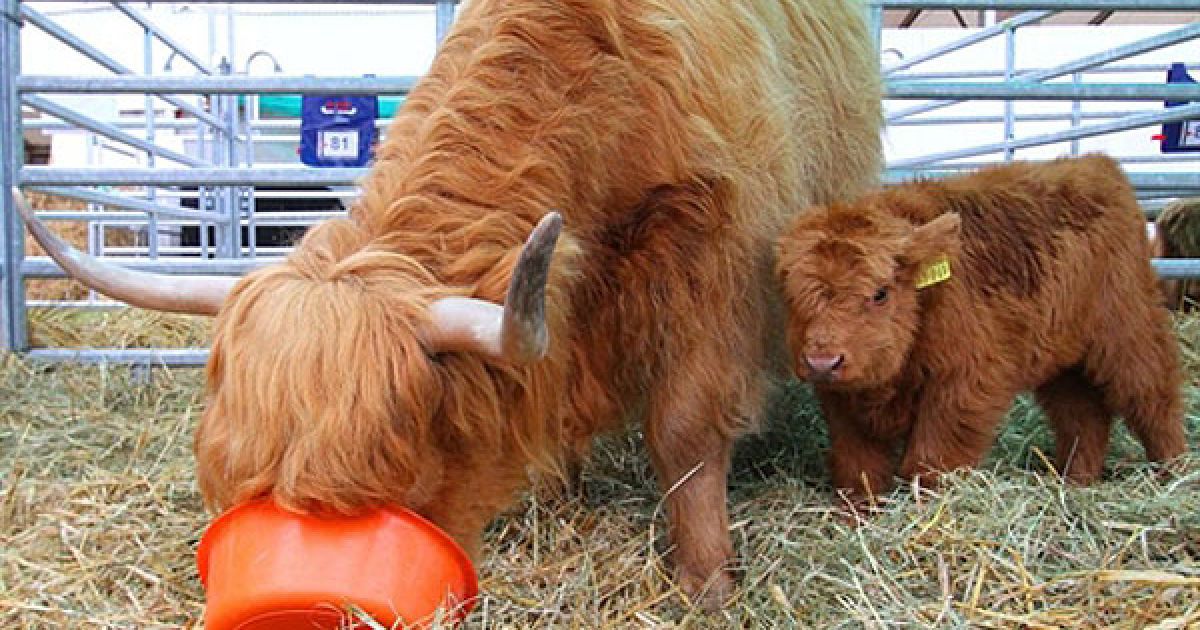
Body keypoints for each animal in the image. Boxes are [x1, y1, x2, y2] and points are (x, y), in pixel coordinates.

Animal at [775, 155, 1186, 505]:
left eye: (880, 293)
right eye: (790, 292)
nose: (823, 361)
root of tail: (1096, 165)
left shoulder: (964, 385)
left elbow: (930, 461)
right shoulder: (843, 406)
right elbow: (859, 470)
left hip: (1130, 332)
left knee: (1155, 399)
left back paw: (1174, 476)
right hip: (1062, 361)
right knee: (1082, 418)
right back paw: (1075, 483)